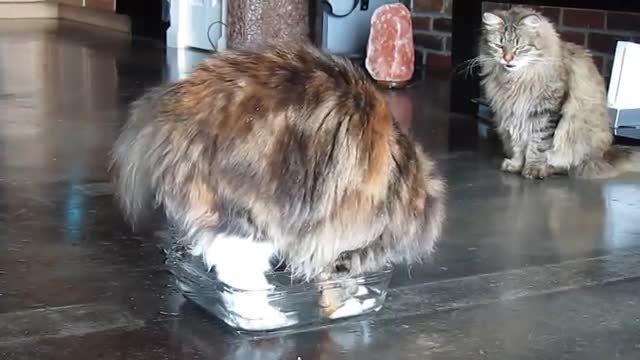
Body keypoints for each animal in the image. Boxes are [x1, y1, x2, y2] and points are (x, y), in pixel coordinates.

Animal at [110, 43, 448, 328]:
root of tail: (172, 107)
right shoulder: (339, 236)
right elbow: (334, 279)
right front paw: (349, 303)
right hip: (253, 216)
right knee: (237, 272)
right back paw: (267, 317)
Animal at [478, 6, 636, 179]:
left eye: (520, 47)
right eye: (499, 46)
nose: (507, 59)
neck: (516, 80)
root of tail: (605, 155)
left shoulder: (545, 111)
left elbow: (537, 145)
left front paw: (533, 169)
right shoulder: (514, 114)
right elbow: (518, 144)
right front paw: (516, 165)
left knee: (569, 166)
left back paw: (549, 168)